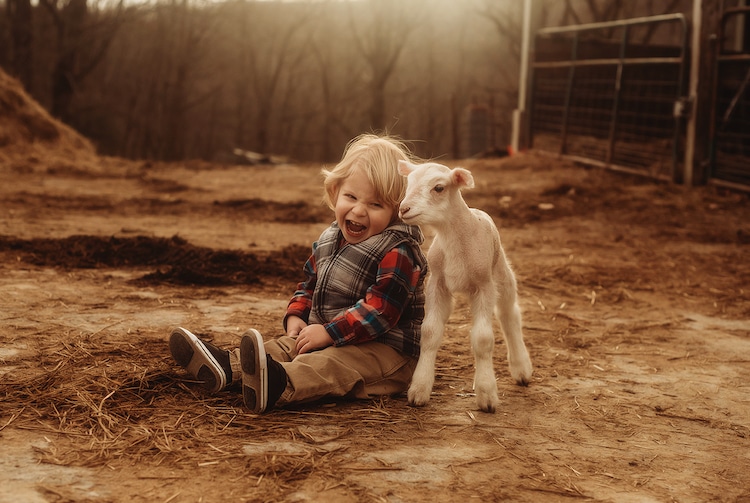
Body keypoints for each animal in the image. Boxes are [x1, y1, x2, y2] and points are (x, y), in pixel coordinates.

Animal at [400, 161, 536, 414]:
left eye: (439, 188)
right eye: (409, 183)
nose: (404, 209)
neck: (454, 237)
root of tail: (478, 210)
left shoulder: (484, 286)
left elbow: (482, 339)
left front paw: (487, 395)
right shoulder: (437, 283)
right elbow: (430, 332)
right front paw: (419, 389)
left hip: (500, 272)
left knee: (508, 314)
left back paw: (522, 369)